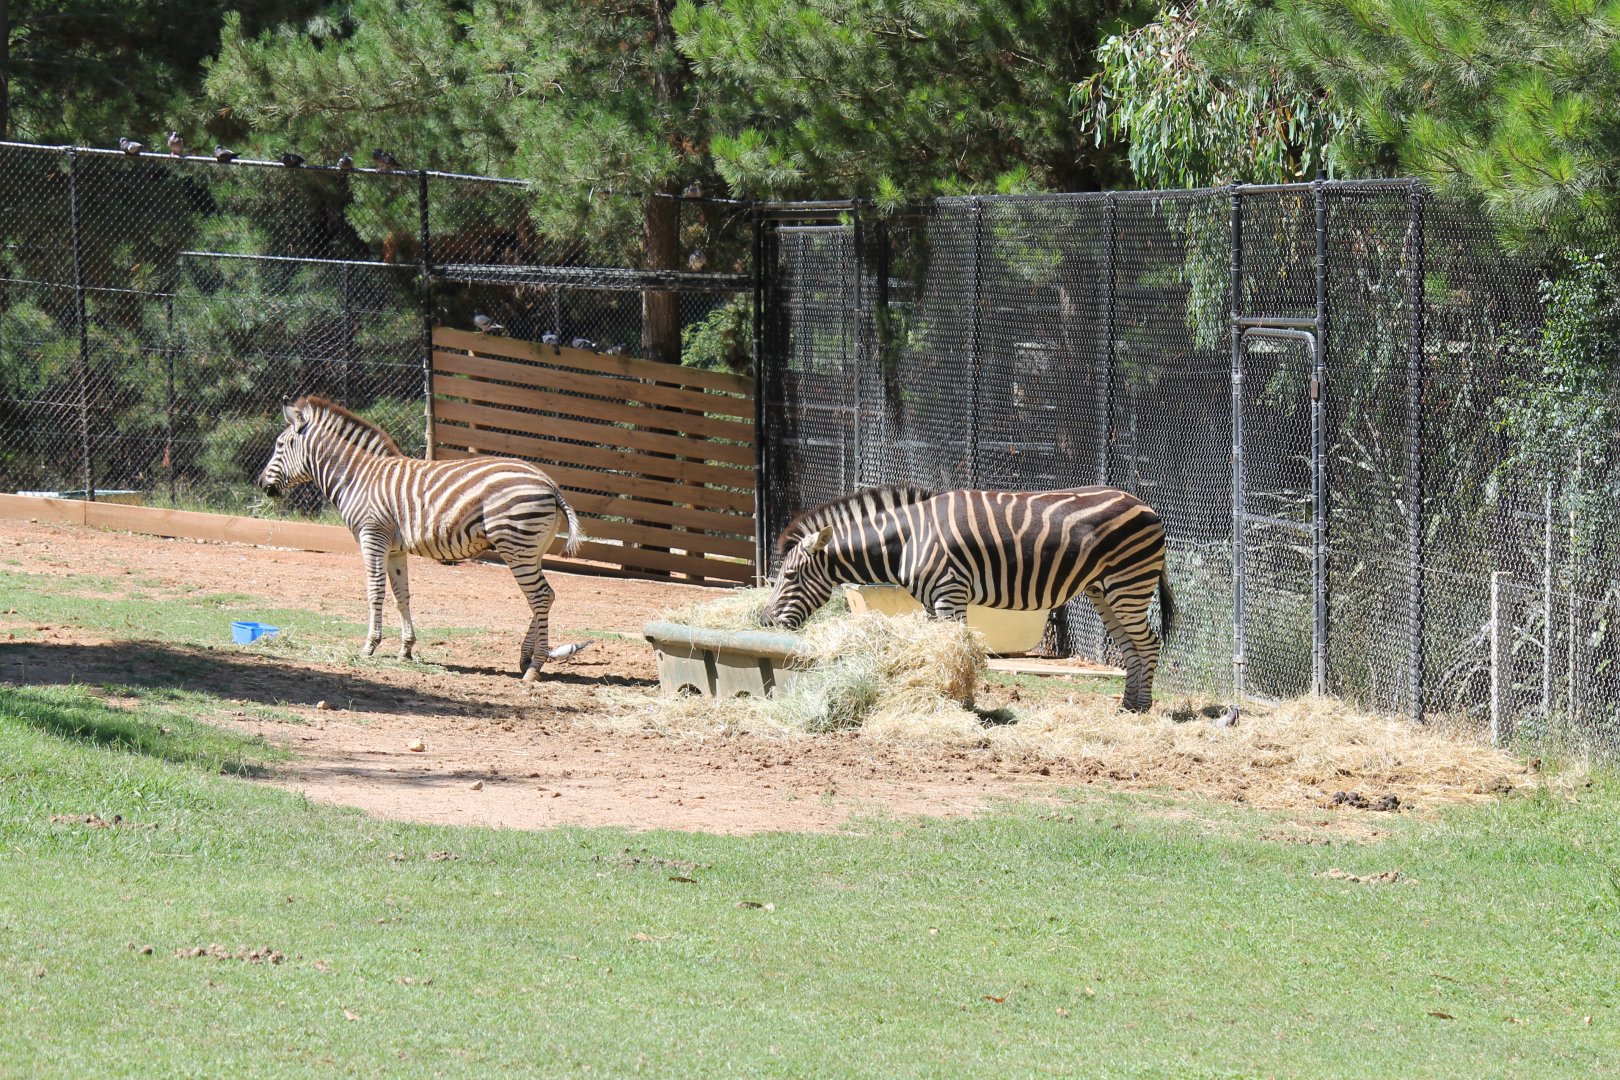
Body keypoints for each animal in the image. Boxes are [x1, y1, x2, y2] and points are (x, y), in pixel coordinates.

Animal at [257, 396, 585, 681]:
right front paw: (406, 649)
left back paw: (534, 667)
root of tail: (548, 482)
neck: (357, 477)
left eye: (279, 445)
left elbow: (375, 592)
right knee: (545, 596)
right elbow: (402, 595)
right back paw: (524, 659)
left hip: (516, 546)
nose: (261, 484)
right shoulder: (394, 550)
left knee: (539, 596)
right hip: (533, 549)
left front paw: (369, 646)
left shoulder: (372, 537)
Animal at [764, 485, 1174, 712]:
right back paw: (1126, 706)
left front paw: (959, 702)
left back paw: (1143, 707)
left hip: (1128, 584)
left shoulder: (950, 593)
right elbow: (938, 653)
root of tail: (1147, 506)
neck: (908, 540)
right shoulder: (931, 601)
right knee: (1130, 646)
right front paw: (939, 696)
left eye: (789, 576)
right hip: (1103, 590)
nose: (765, 621)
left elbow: (956, 652)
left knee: (1149, 643)